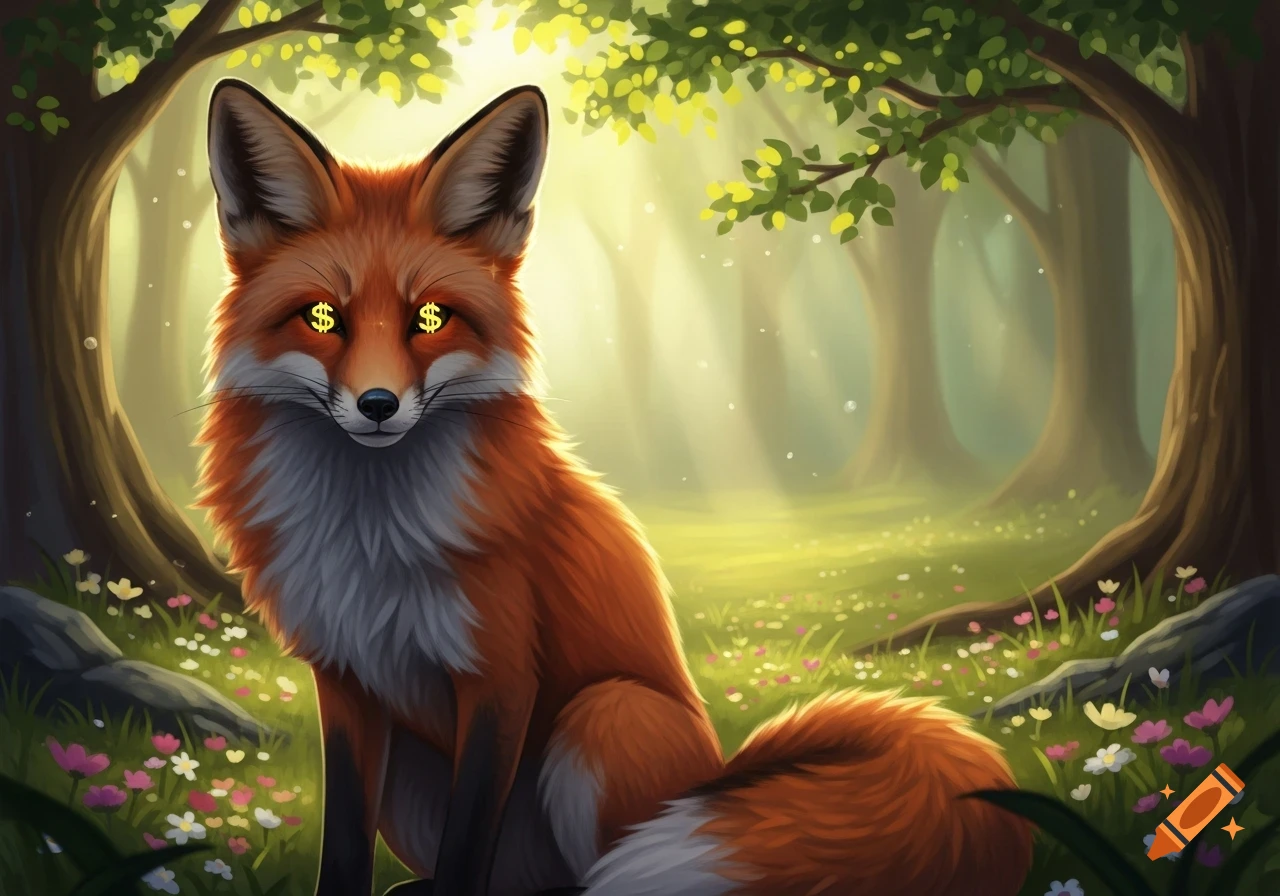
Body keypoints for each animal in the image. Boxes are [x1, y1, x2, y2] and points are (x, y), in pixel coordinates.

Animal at [195, 77, 1033, 896]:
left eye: (430, 318)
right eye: (321, 317)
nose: (377, 405)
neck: (368, 534)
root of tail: (718, 774)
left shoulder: (500, 676)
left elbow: (468, 847)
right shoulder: (346, 681)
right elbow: (344, 845)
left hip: (604, 714)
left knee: (587, 873)